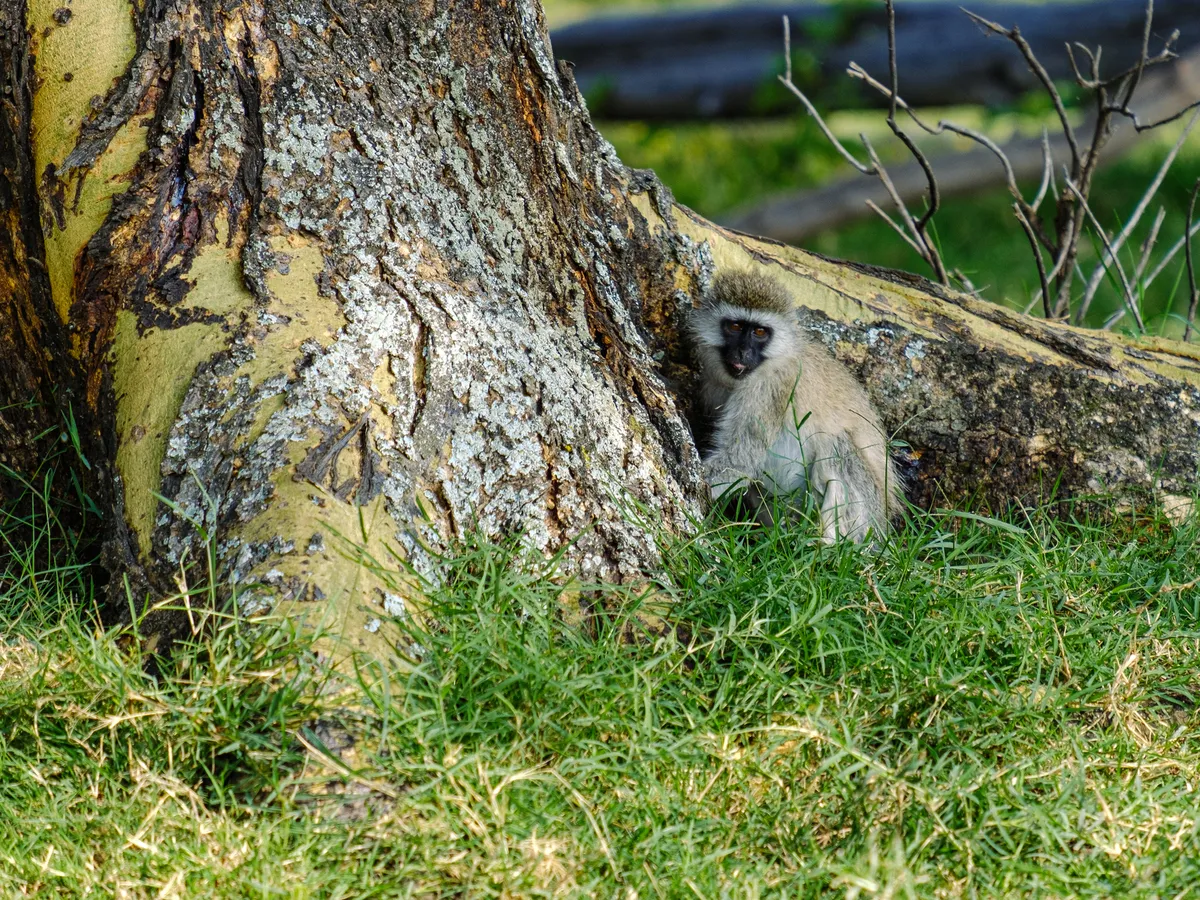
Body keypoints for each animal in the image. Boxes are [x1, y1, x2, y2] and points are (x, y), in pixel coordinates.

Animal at [696, 270, 902, 542]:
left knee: (835, 445)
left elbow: (739, 460)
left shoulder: (767, 391)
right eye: (735, 326)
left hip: (867, 518)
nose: (742, 352)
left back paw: (825, 545)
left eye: (760, 332)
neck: (775, 359)